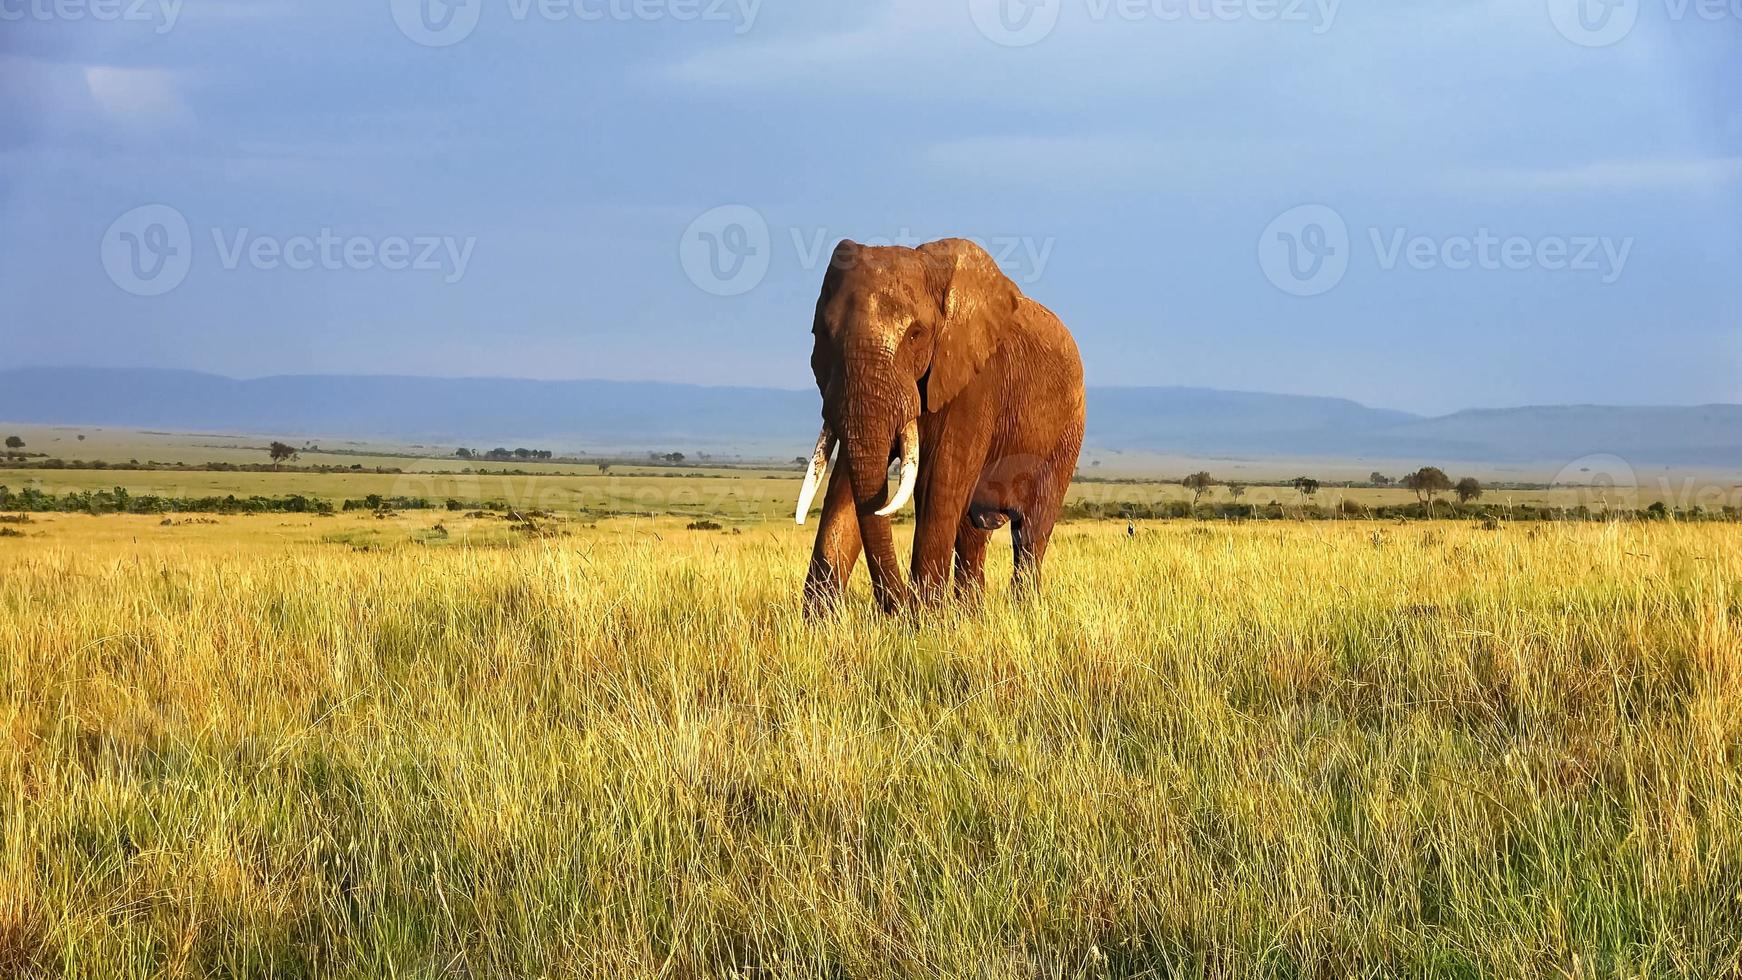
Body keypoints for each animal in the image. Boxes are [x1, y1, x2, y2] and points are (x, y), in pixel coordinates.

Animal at [794, 238, 1087, 612]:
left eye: (916, 335)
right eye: (822, 334)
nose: (896, 607)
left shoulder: (975, 382)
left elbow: (938, 482)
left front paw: (925, 619)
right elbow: (844, 485)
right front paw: (818, 622)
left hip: (1067, 433)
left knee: (1031, 532)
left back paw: (1023, 610)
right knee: (973, 533)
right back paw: (971, 613)